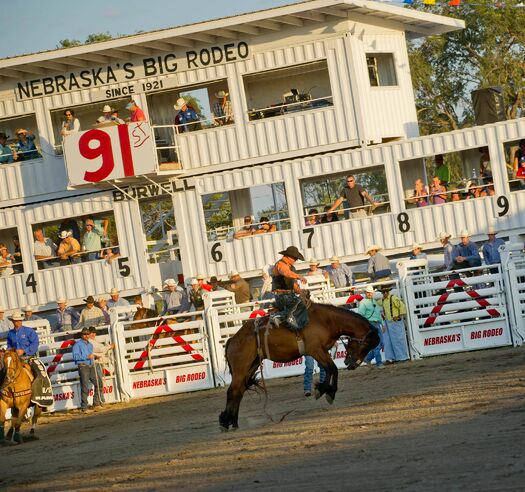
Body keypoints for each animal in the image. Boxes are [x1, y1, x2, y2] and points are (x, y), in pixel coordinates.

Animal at [219, 304, 378, 430]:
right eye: (364, 345)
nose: (353, 364)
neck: (325, 320)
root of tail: (233, 339)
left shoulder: (321, 351)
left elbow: (330, 370)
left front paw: (328, 391)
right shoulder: (315, 350)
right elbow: (332, 369)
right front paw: (324, 390)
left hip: (251, 365)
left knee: (239, 391)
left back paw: (233, 422)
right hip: (241, 368)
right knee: (233, 391)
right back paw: (225, 422)